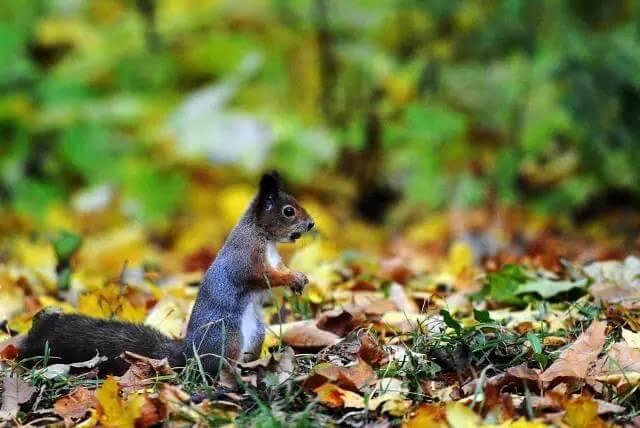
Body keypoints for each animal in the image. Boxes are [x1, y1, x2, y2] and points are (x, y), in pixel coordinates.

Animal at [21, 171, 316, 378]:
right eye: (288, 211)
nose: (312, 224)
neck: (264, 236)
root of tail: (187, 354)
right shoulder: (247, 258)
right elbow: (261, 276)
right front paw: (292, 279)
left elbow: (278, 269)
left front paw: (299, 276)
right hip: (227, 334)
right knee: (218, 366)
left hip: (255, 334)